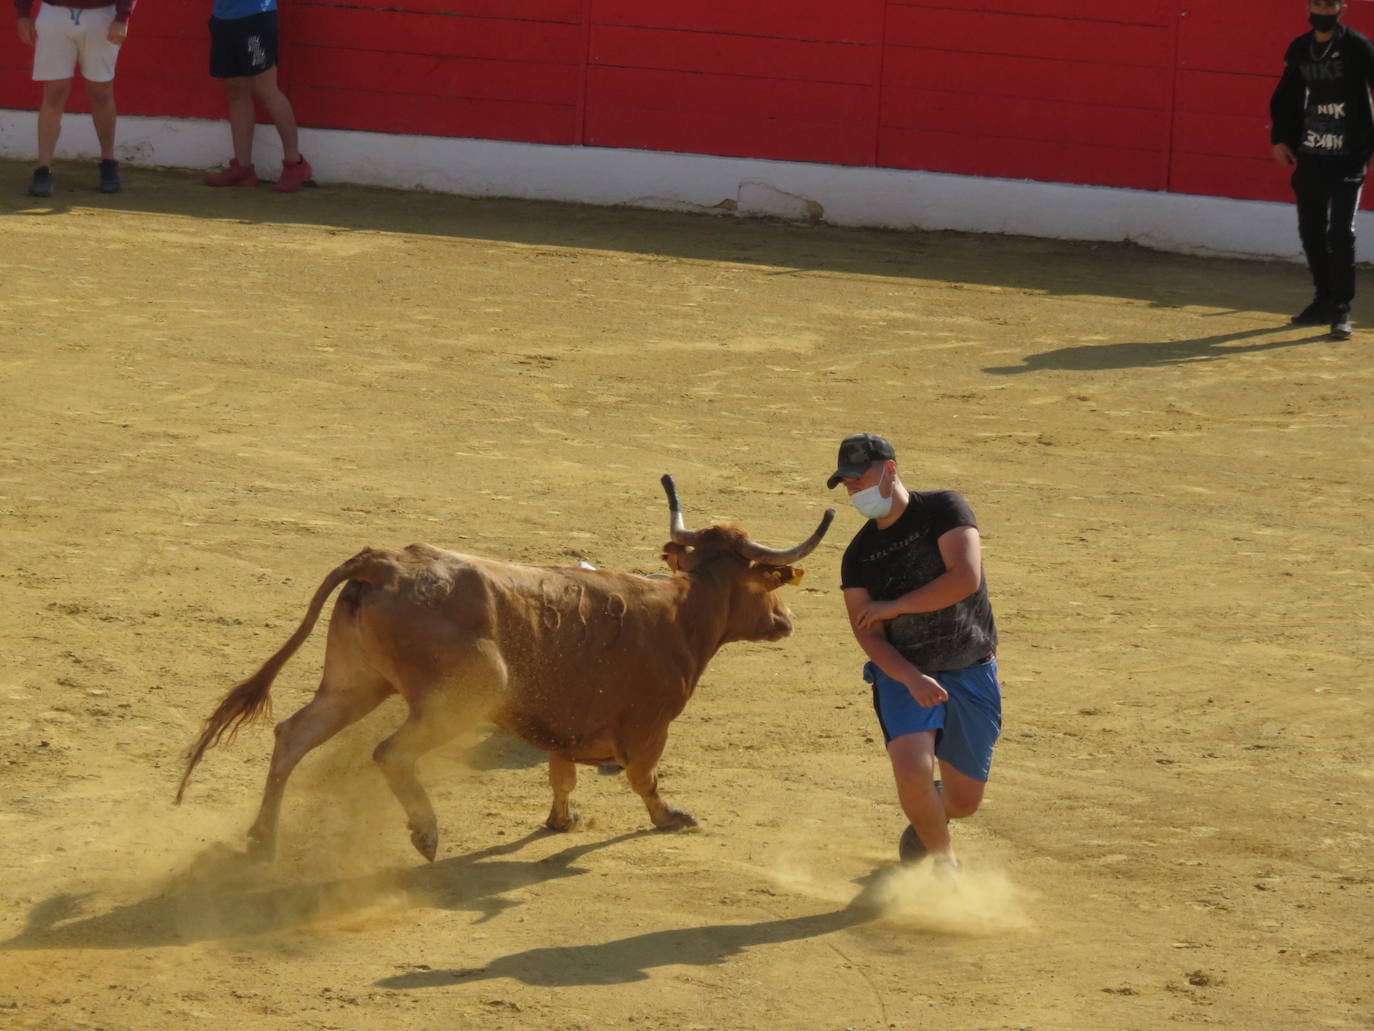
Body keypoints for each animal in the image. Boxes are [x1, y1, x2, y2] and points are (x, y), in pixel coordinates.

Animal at [175, 475, 829, 863]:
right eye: (765, 582)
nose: (787, 620)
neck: (678, 611)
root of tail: (381, 562)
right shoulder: (649, 727)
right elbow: (645, 779)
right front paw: (670, 817)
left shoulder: (565, 727)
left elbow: (562, 777)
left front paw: (563, 820)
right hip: (470, 690)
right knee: (390, 752)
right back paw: (425, 834)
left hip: (355, 683)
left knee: (293, 735)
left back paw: (263, 841)